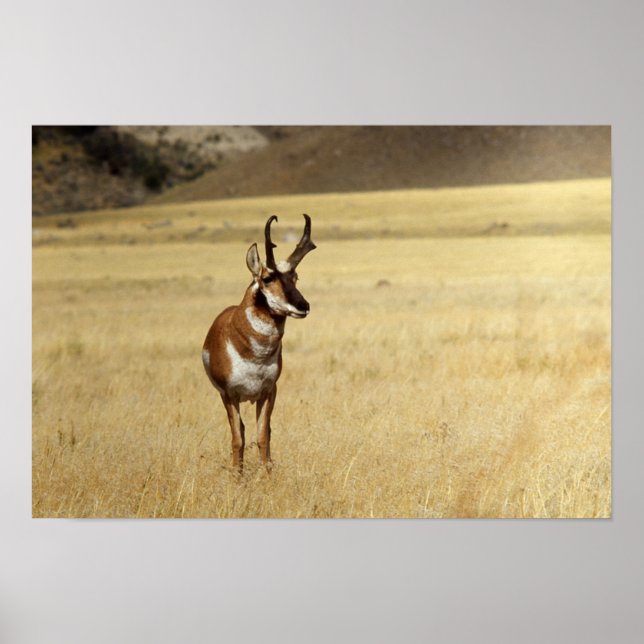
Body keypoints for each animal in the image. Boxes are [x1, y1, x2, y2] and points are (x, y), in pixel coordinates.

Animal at [202, 214, 316, 471]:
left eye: (295, 277)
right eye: (267, 278)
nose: (303, 306)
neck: (254, 355)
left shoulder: (268, 392)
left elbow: (263, 435)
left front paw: (266, 472)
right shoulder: (229, 395)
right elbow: (237, 439)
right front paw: (237, 475)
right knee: (241, 432)